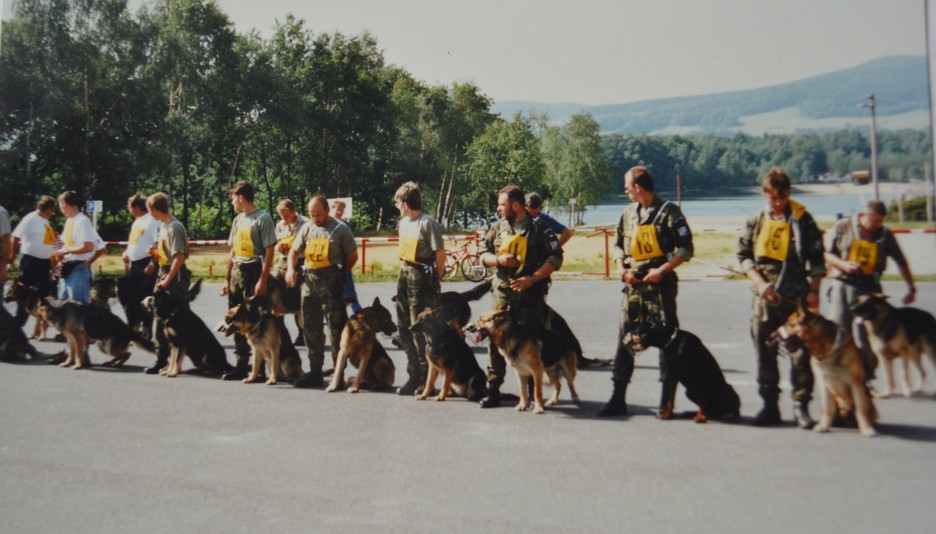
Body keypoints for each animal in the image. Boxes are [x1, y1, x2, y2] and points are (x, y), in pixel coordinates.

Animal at [784, 308, 876, 438]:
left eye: (790, 324)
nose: (776, 334)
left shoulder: (856, 385)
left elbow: (861, 410)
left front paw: (866, 428)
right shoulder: (824, 383)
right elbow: (827, 408)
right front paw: (823, 426)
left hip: (865, 397)